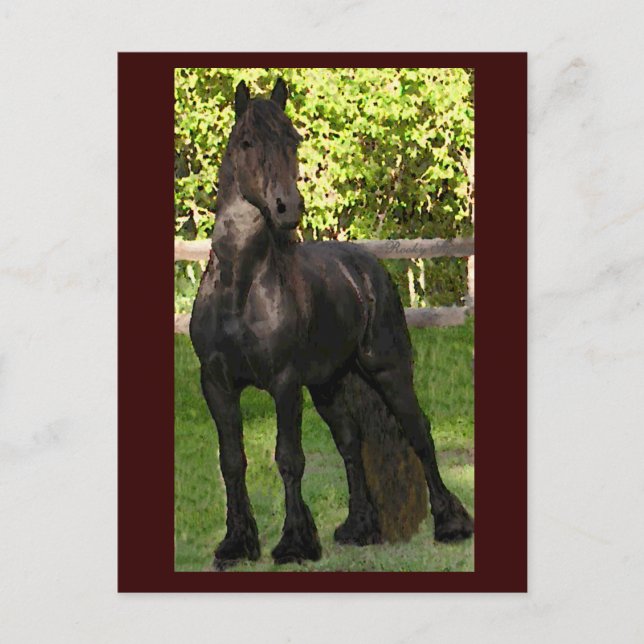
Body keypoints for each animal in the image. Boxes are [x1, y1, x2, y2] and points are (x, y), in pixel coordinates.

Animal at [189, 78, 474, 568]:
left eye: (293, 140)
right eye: (247, 143)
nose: (287, 207)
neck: (239, 289)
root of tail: (366, 267)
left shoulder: (284, 383)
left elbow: (289, 458)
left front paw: (294, 543)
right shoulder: (217, 384)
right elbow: (232, 461)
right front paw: (236, 543)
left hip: (388, 371)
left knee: (419, 433)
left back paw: (450, 523)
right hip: (329, 384)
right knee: (350, 443)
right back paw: (359, 528)